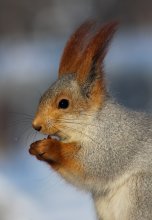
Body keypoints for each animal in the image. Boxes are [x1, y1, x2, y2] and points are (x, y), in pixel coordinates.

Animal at [29, 21, 152, 220]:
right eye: (41, 98)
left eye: (64, 103)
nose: (36, 125)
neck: (93, 121)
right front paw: (35, 148)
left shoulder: (115, 141)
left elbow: (91, 164)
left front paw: (50, 147)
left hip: (142, 192)